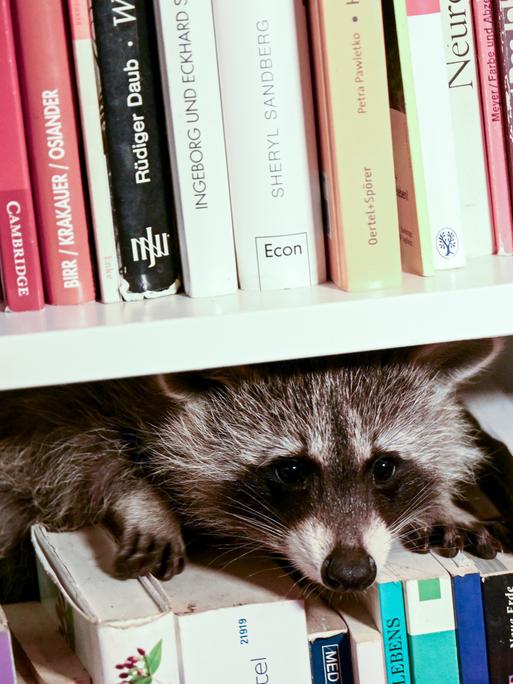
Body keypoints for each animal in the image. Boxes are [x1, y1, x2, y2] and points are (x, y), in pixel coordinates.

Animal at [0, 340, 504, 596]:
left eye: (384, 467)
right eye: (292, 471)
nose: (351, 573)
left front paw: (439, 502)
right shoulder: (51, 405)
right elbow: (64, 453)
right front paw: (142, 499)